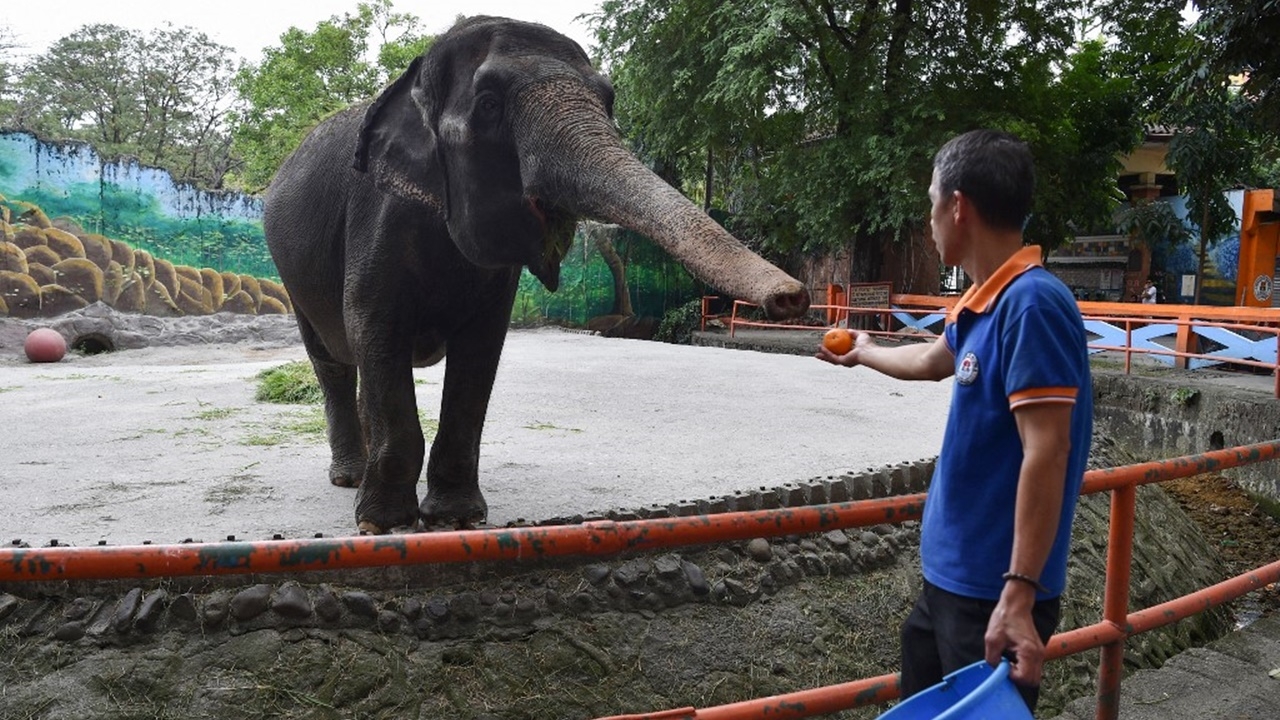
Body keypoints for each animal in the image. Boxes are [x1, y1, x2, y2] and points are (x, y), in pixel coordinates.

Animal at [262, 15, 808, 532]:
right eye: (488, 105)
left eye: (609, 100)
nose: (793, 297)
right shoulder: (378, 217)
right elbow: (374, 326)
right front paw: (383, 524)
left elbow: (480, 349)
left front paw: (457, 519)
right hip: (291, 275)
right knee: (333, 360)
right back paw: (349, 478)